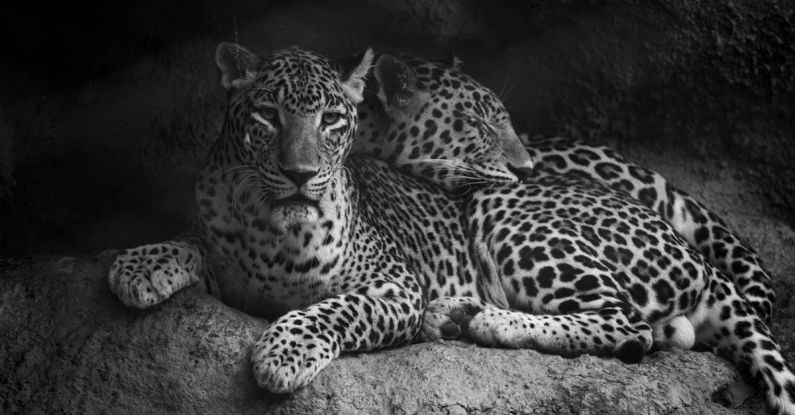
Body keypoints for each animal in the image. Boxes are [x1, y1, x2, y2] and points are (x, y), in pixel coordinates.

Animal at [352, 53, 792, 414]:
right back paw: (452, 315)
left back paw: (485, 319)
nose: (526, 169)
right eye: (476, 123)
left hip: (503, 207)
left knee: (626, 322)